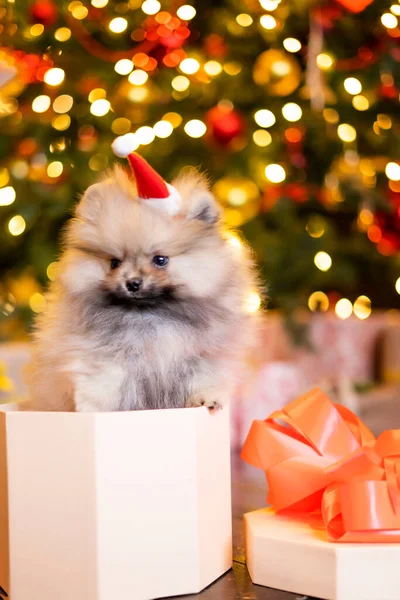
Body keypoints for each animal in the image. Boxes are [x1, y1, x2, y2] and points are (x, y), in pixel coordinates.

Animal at [28, 162, 260, 410]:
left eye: (160, 260)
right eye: (114, 263)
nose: (132, 283)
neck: (151, 316)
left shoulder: (205, 355)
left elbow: (205, 379)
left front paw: (207, 399)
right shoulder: (102, 356)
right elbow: (101, 385)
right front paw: (92, 410)